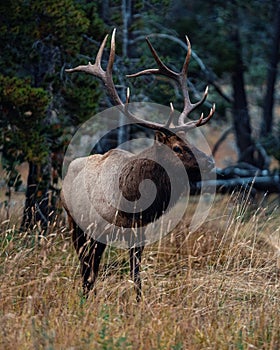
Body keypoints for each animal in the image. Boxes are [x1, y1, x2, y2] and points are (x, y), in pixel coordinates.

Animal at [61, 29, 214, 300]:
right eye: (177, 147)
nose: (210, 161)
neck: (131, 198)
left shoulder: (139, 232)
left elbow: (136, 273)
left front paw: (139, 302)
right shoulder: (99, 229)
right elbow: (94, 268)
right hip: (75, 222)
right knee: (85, 263)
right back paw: (85, 294)